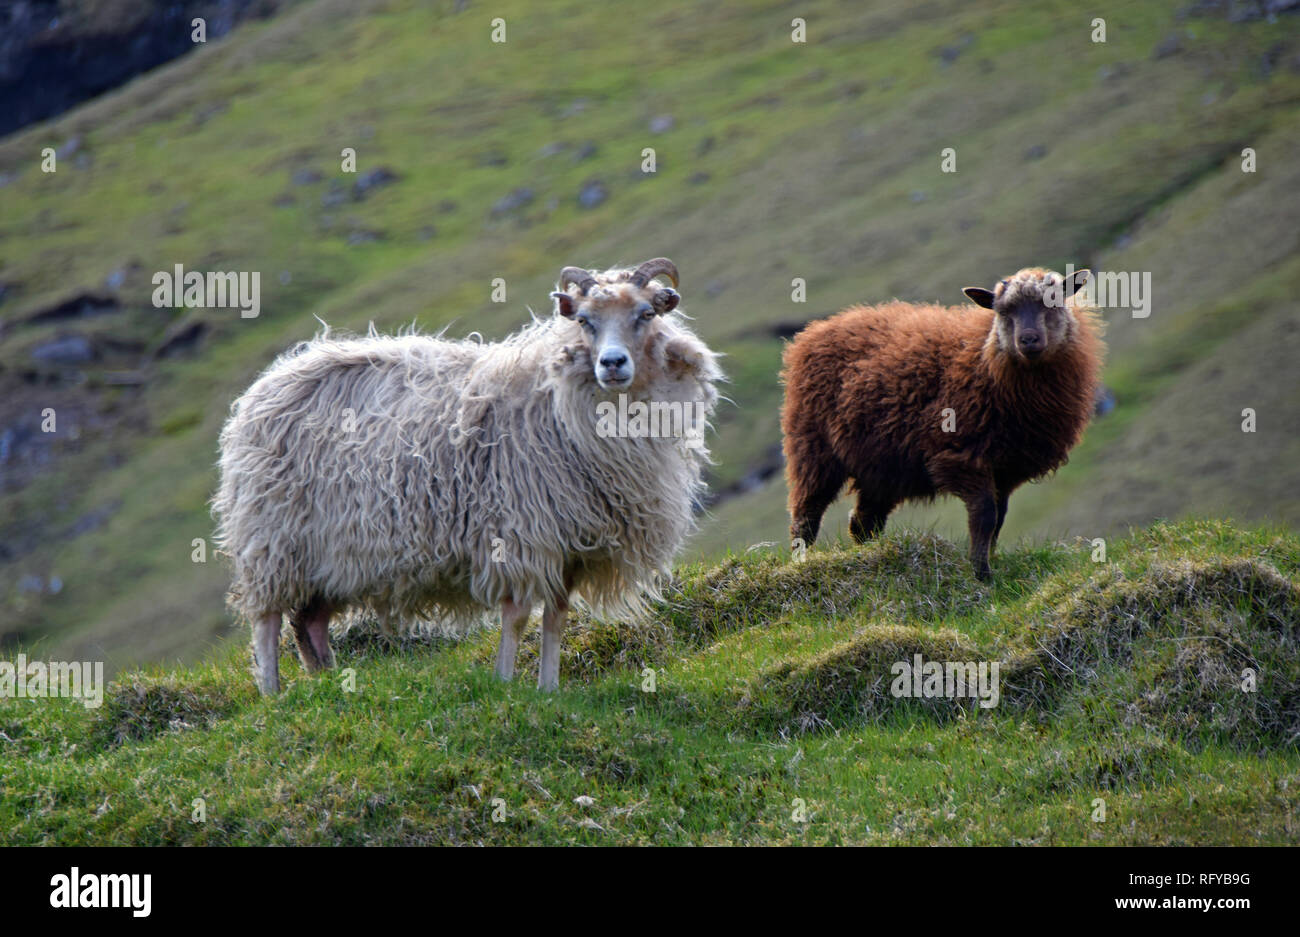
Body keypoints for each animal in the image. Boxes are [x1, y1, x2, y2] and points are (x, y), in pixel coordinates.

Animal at [213, 258, 721, 694]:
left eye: (645, 313)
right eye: (584, 321)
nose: (611, 364)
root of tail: (268, 383)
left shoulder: (570, 548)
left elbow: (556, 619)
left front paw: (549, 689)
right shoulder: (520, 534)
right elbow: (517, 617)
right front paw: (505, 682)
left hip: (330, 556)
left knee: (309, 623)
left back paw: (327, 682)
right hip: (273, 540)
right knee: (268, 621)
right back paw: (273, 694)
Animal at [780, 267, 1104, 579]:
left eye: (1053, 302)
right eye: (1003, 311)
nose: (1028, 340)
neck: (985, 361)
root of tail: (815, 331)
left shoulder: (1005, 469)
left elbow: (998, 518)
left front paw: (990, 561)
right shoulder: (961, 456)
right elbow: (984, 515)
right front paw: (981, 572)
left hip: (882, 466)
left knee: (863, 523)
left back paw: (871, 555)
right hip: (813, 449)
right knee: (806, 517)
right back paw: (799, 562)